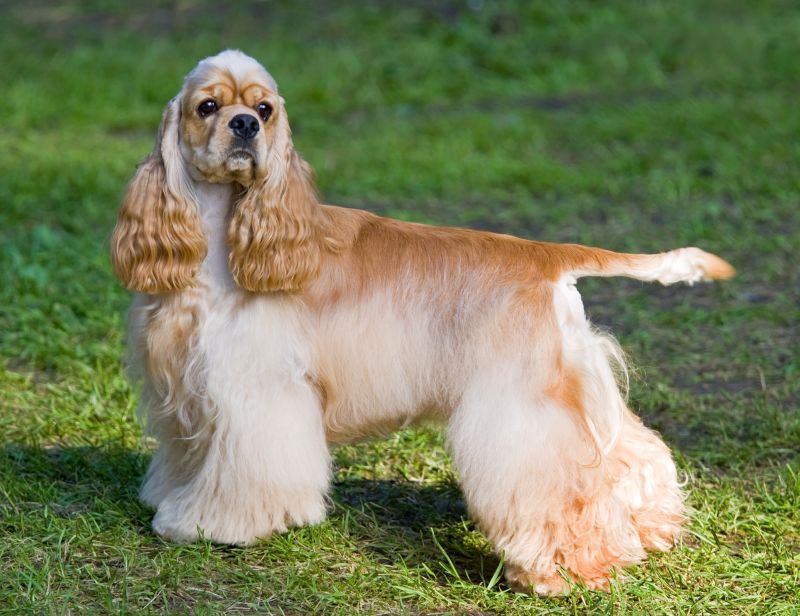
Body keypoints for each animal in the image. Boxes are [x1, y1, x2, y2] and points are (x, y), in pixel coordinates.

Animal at [109, 49, 736, 592]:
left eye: (264, 109)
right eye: (207, 106)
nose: (243, 126)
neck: (223, 236)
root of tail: (546, 256)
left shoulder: (255, 390)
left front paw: (209, 525)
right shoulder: (184, 387)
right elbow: (188, 454)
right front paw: (171, 500)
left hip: (524, 406)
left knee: (559, 485)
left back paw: (565, 569)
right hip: (570, 383)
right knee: (632, 451)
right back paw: (655, 528)